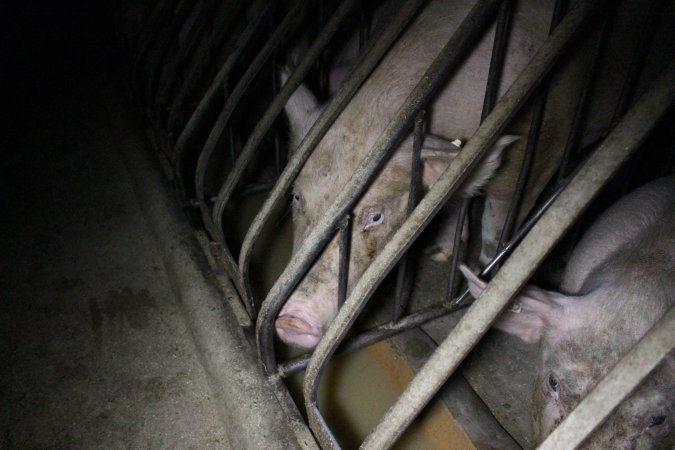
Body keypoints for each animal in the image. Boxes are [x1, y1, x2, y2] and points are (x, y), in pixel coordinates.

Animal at [274, 0, 588, 348]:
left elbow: (497, 225)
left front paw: (479, 282)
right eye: (297, 197)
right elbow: (451, 198)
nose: (292, 320)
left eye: (376, 216)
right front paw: (438, 253)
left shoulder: (540, 151)